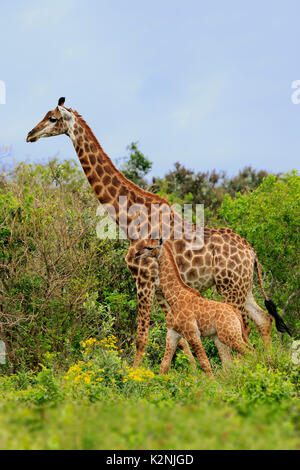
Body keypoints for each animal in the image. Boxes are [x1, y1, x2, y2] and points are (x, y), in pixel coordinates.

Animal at [137, 241, 253, 376]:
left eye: (150, 247)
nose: (137, 254)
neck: (173, 298)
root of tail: (235, 312)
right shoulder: (172, 333)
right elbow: (164, 365)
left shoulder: (192, 333)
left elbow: (204, 363)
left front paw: (211, 382)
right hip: (219, 337)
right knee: (229, 363)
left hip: (230, 335)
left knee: (250, 352)